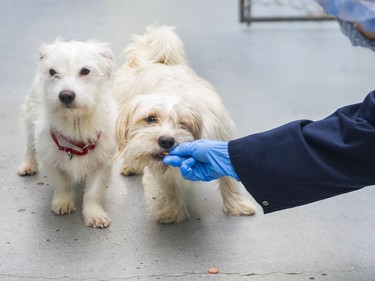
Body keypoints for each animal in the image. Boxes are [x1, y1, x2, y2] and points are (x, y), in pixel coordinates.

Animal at [17, 38, 116, 228]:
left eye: (85, 71)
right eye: (52, 72)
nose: (66, 95)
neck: (76, 123)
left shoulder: (102, 163)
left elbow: (93, 192)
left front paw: (94, 214)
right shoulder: (51, 159)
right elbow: (62, 184)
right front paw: (63, 203)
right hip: (29, 121)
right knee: (29, 147)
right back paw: (28, 165)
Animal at [113, 24, 258, 223]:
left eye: (183, 124)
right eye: (150, 119)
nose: (166, 141)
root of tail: (157, 60)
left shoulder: (221, 139)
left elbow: (228, 179)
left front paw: (236, 205)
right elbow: (170, 187)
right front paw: (173, 212)